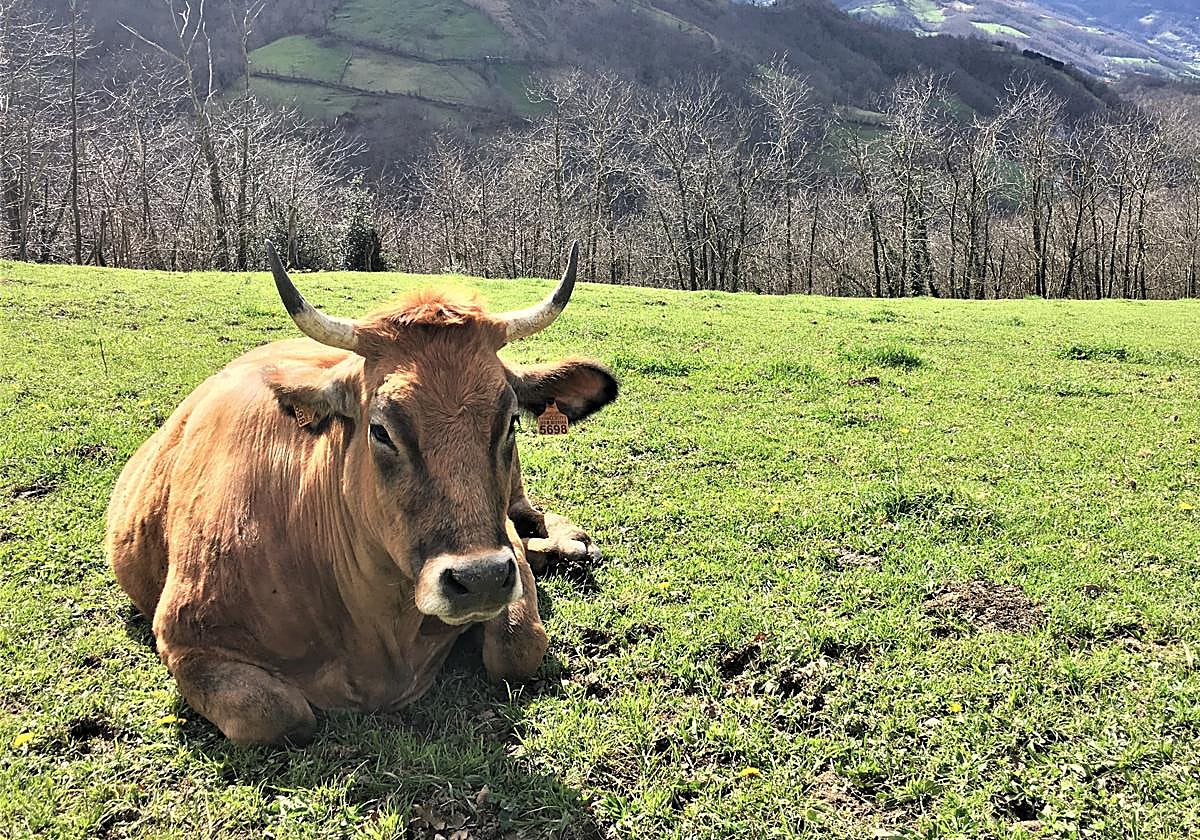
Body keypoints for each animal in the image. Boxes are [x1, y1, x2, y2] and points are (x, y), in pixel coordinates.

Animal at [105, 242, 617, 745]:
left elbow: (517, 648)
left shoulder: (503, 550)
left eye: (510, 421)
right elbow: (277, 715)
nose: (482, 579)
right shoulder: (185, 640)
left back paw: (570, 544)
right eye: (380, 429)